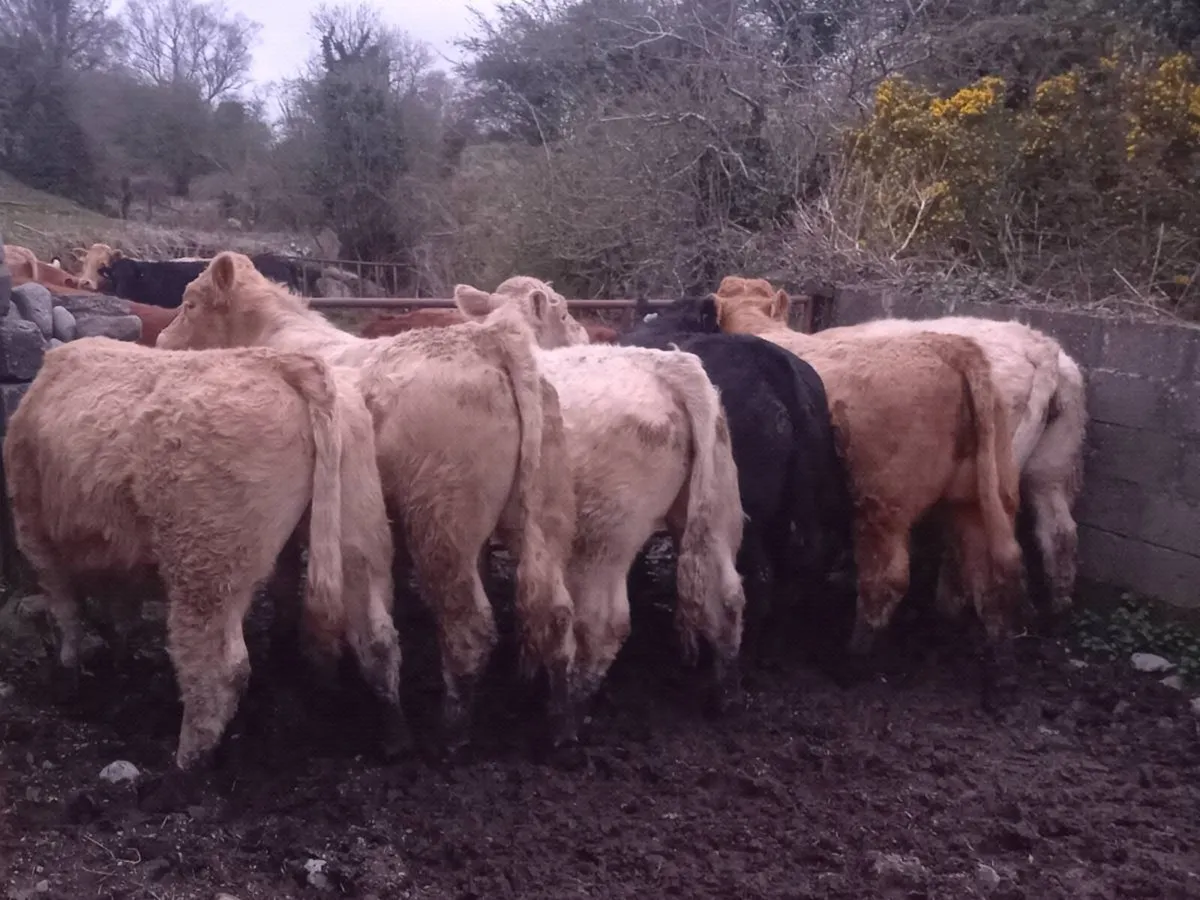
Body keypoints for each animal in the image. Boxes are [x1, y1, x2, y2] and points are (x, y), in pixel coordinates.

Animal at [4, 337, 403, 806]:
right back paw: (393, 736)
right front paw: (119, 667)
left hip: (205, 565)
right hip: (359, 531)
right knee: (377, 637)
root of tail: (284, 363)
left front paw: (68, 680)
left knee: (216, 669)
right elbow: (120, 616)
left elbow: (66, 616)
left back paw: (182, 773)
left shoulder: (36, 536)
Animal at [157, 252, 578, 753]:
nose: (161, 341)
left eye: (189, 303)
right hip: (543, 517)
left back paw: (452, 730)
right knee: (555, 609)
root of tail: (489, 342)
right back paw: (559, 721)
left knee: (470, 626)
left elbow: (283, 579)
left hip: (444, 528)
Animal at [454, 277, 747, 715]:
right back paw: (721, 694)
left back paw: (567, 707)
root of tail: (669, 367)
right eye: (563, 313)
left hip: (601, 539)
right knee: (726, 596)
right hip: (713, 513)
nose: (580, 333)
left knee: (603, 623)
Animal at [617, 296, 857, 661]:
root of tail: (772, 366)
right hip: (802, 499)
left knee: (759, 576)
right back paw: (772, 645)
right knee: (801, 559)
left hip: (746, 509)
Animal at [712, 276, 1024, 684]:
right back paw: (1002, 660)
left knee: (887, 579)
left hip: (881, 506)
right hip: (979, 500)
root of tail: (953, 347)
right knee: (990, 574)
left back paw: (852, 658)